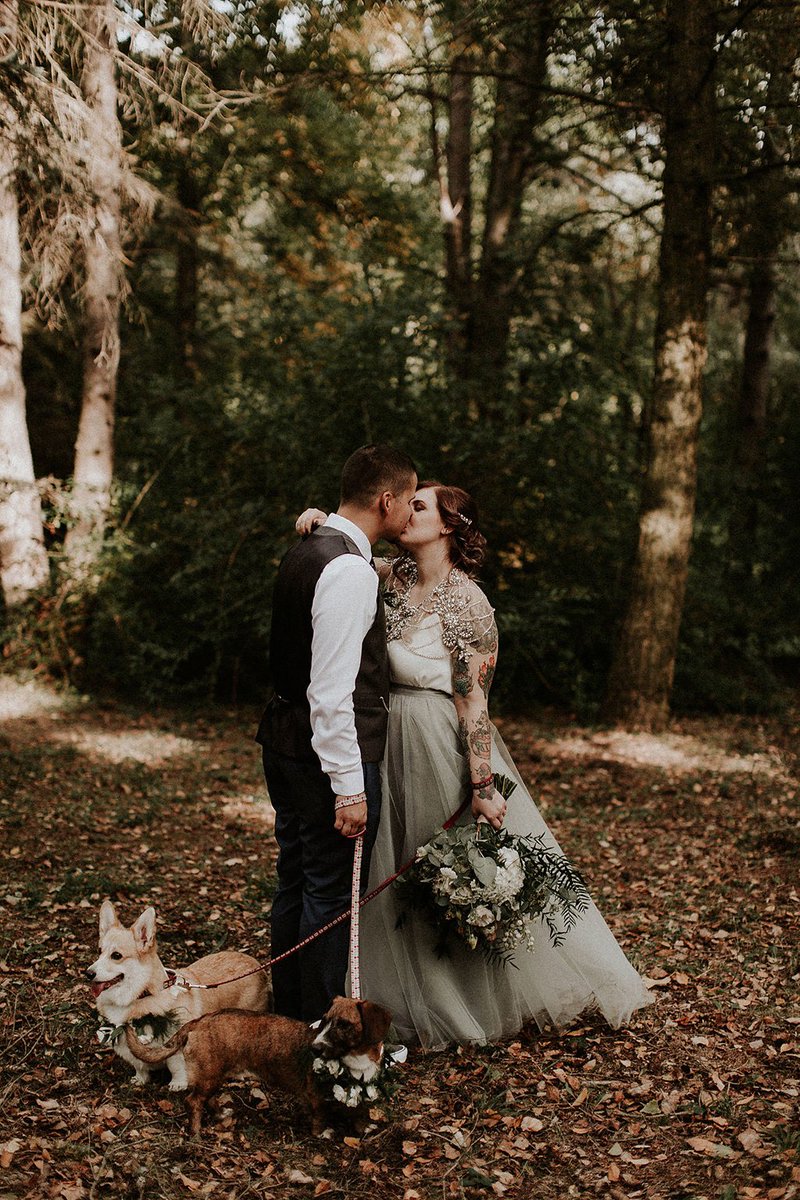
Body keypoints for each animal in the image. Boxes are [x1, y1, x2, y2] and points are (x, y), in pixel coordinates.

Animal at [86, 900, 271, 1090]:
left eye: (116, 955)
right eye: (99, 951)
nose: (88, 973)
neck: (142, 994)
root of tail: (257, 965)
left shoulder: (177, 1042)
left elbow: (176, 1066)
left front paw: (178, 1084)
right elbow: (139, 1065)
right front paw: (140, 1079)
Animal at [125, 995, 392, 1135]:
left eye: (344, 1024)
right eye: (324, 1021)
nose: (314, 1048)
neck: (354, 1062)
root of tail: (197, 1022)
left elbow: (358, 1112)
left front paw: (364, 1127)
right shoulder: (315, 1096)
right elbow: (320, 1116)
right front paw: (322, 1134)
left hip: (212, 1076)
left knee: (206, 1100)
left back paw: (220, 1114)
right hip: (210, 1076)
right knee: (193, 1102)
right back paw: (197, 1133)